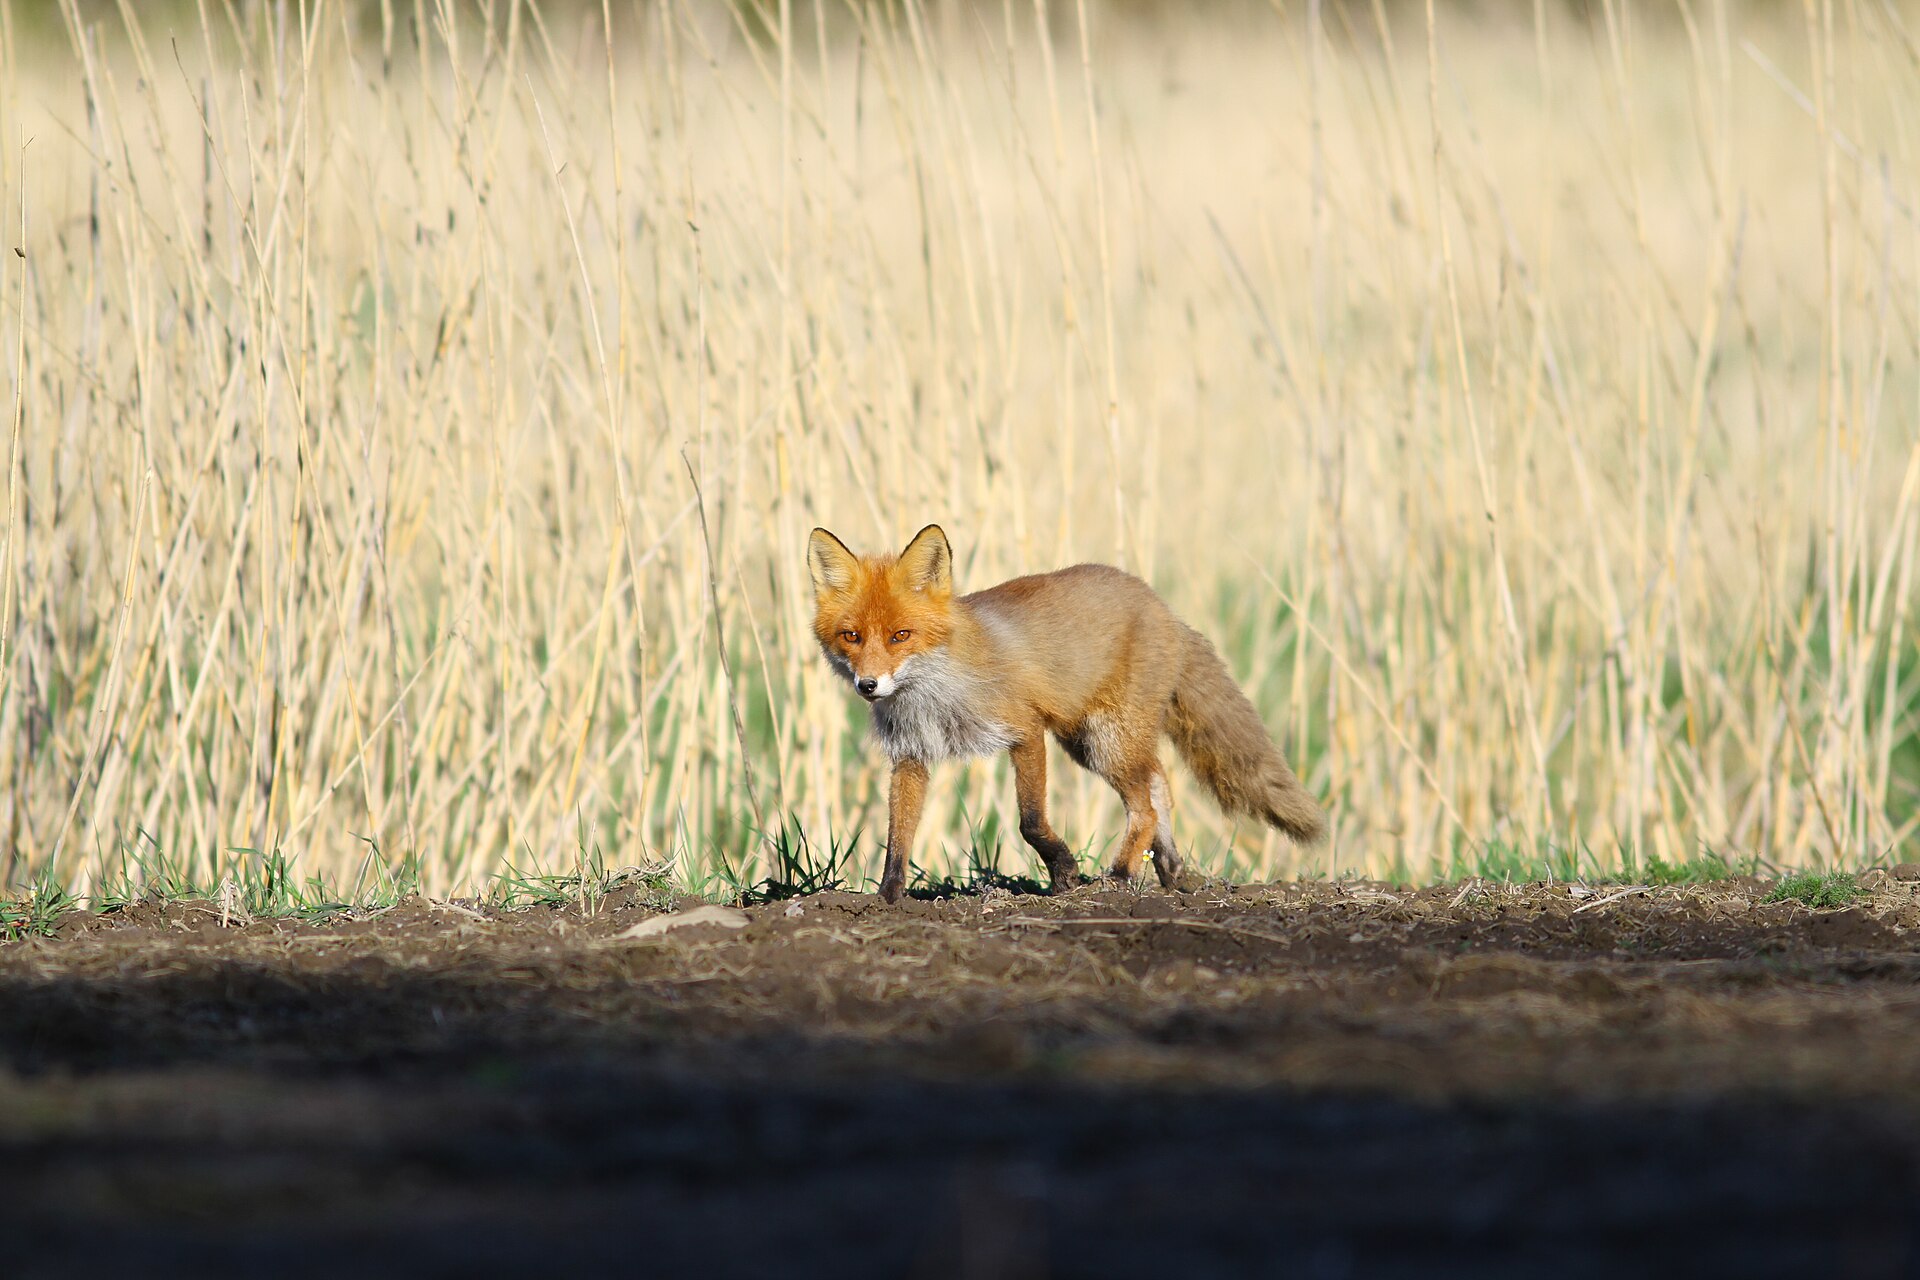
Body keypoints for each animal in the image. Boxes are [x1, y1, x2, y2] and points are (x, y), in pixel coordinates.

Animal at [807, 523, 1325, 903]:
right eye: (852, 636)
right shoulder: (911, 756)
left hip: (1107, 740)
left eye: (901, 636)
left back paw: (1119, 875)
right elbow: (899, 835)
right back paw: (1170, 870)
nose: (868, 685)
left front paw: (1064, 875)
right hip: (1090, 744)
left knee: (1145, 805)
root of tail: (1164, 609)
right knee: (1158, 784)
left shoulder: (1025, 730)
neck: (934, 696)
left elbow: (1031, 821)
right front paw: (888, 898)